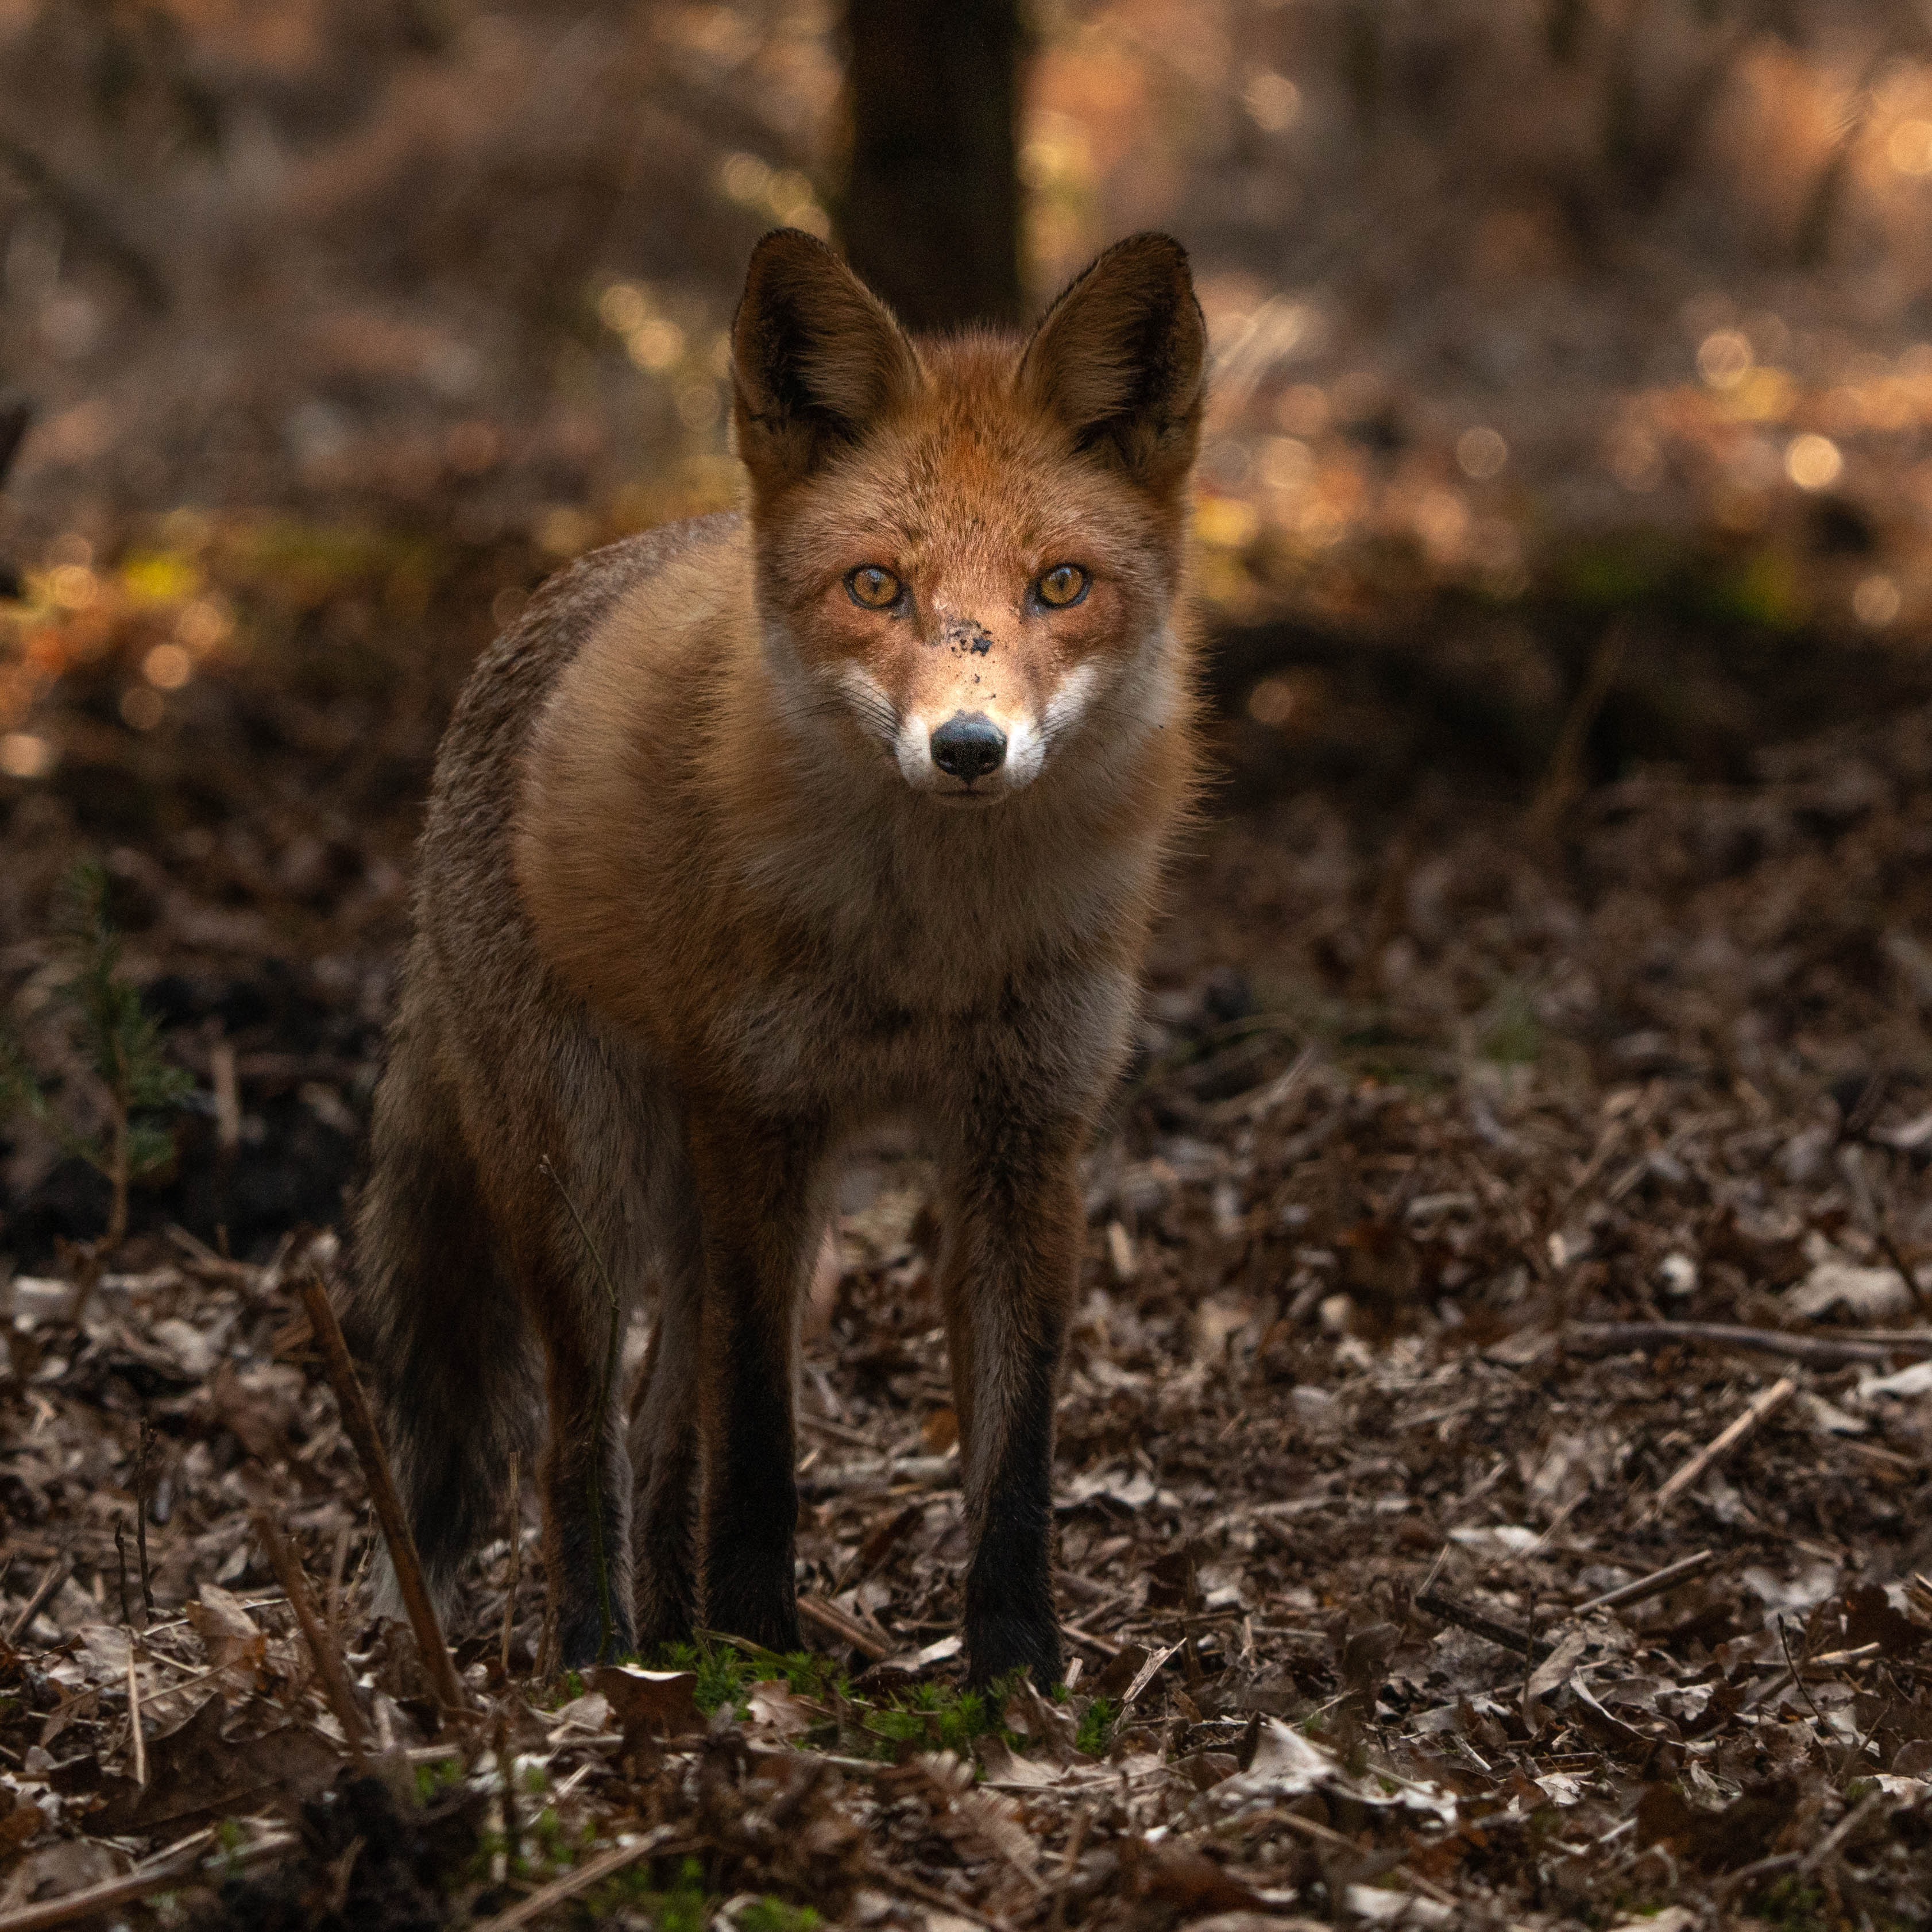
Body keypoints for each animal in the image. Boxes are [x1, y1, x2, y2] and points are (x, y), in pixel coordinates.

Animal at [340, 226, 1197, 1684]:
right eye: (877, 586)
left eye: (1059, 585)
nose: (968, 749)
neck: (930, 945)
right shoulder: (766, 1119)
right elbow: (758, 1437)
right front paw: (761, 1644)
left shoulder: (1025, 1135)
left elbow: (1013, 1448)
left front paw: (1014, 1671)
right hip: (591, 1180)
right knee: (580, 1439)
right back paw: (603, 1659)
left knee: (654, 1433)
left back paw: (671, 1648)